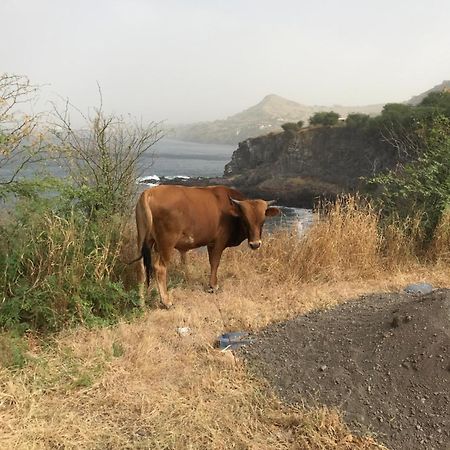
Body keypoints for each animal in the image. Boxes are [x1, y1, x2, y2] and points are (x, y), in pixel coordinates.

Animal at [135, 185, 280, 308]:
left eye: (262, 221)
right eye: (245, 220)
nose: (255, 244)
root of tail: (149, 192)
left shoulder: (211, 243)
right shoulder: (218, 242)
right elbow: (215, 263)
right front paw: (213, 286)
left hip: (143, 241)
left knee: (140, 268)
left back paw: (140, 302)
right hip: (166, 243)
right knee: (160, 268)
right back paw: (166, 301)